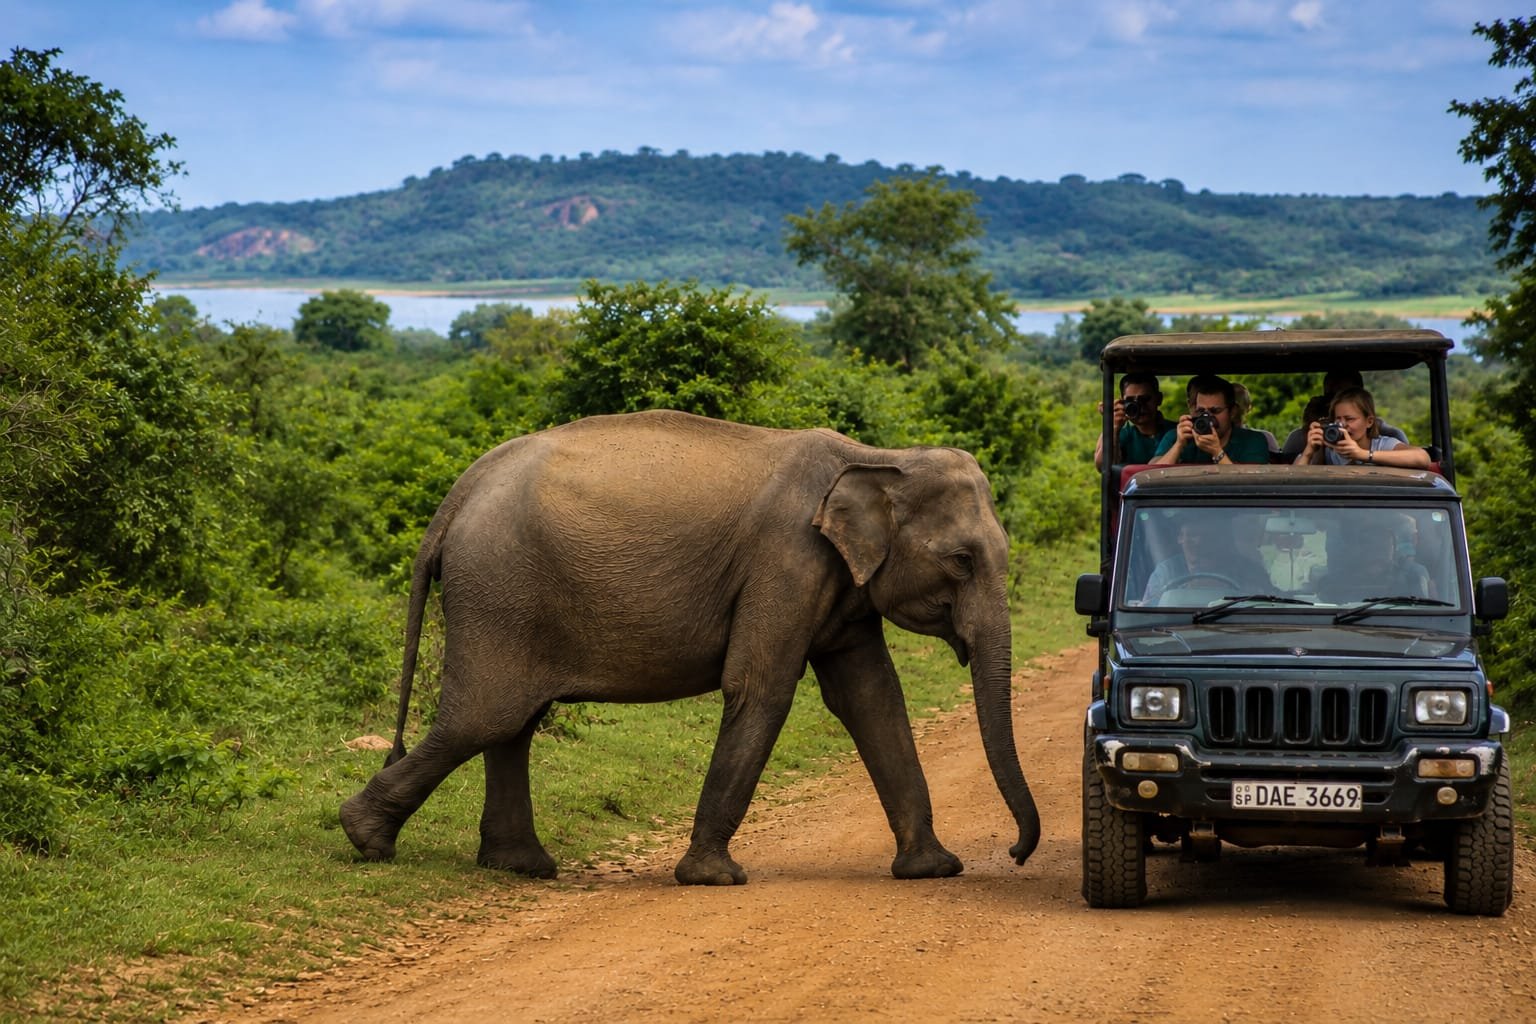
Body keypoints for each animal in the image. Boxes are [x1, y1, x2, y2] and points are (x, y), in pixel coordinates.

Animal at [340, 409, 1041, 885]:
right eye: (961, 561)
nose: (1013, 852)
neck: (876, 455)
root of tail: (460, 490)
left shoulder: (839, 582)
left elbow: (871, 697)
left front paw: (933, 870)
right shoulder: (786, 561)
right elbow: (762, 689)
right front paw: (712, 879)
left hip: (507, 594)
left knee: (512, 722)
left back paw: (522, 867)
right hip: (499, 589)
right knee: (487, 716)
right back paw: (366, 839)